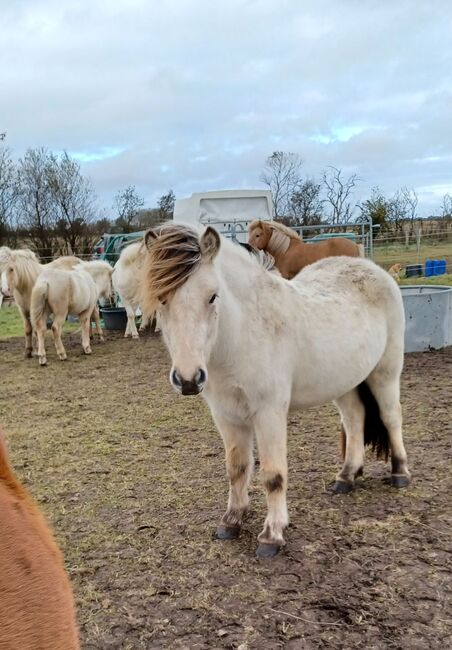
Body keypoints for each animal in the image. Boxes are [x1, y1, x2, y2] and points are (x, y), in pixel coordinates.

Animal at [141, 224, 410, 556]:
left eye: (212, 296)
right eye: (162, 299)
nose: (189, 378)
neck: (243, 336)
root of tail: (372, 269)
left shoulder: (268, 414)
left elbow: (273, 475)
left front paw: (272, 534)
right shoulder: (227, 416)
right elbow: (237, 468)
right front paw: (232, 520)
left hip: (386, 372)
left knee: (391, 417)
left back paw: (400, 473)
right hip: (345, 382)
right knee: (355, 419)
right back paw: (346, 477)